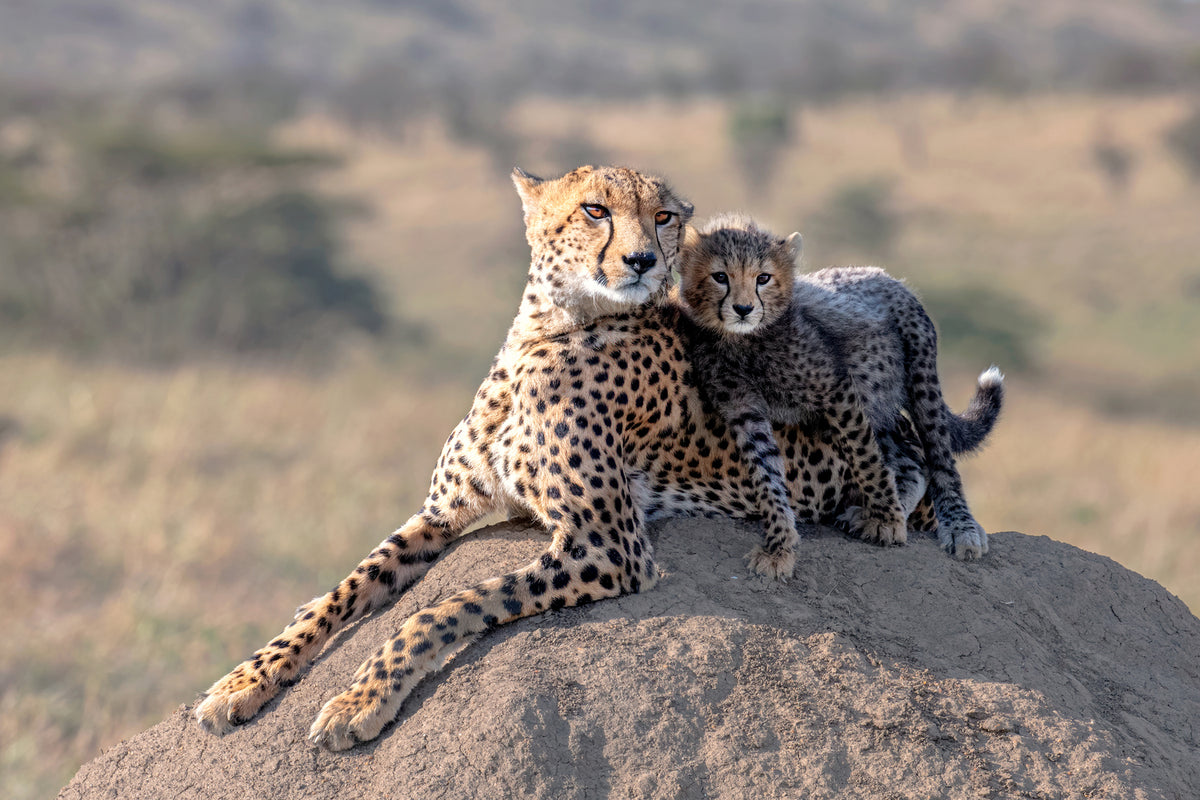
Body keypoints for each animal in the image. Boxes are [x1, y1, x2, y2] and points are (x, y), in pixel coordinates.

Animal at [196, 165, 960, 753]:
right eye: (596, 210)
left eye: (663, 217)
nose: (643, 261)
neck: (548, 330)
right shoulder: (441, 515)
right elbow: (342, 592)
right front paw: (245, 681)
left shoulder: (609, 544)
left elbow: (447, 605)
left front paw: (361, 701)